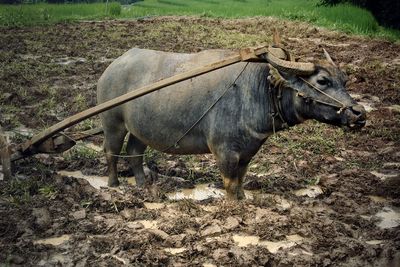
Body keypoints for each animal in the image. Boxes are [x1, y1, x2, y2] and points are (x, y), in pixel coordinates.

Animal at [97, 44, 366, 199]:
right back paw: (113, 184)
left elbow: (240, 181)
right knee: (111, 151)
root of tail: (113, 66)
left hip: (140, 129)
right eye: (322, 81)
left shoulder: (247, 151)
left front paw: (243, 200)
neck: (260, 90)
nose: (359, 113)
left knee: (134, 152)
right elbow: (228, 183)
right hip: (112, 122)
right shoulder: (223, 150)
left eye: (344, 80)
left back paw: (142, 184)